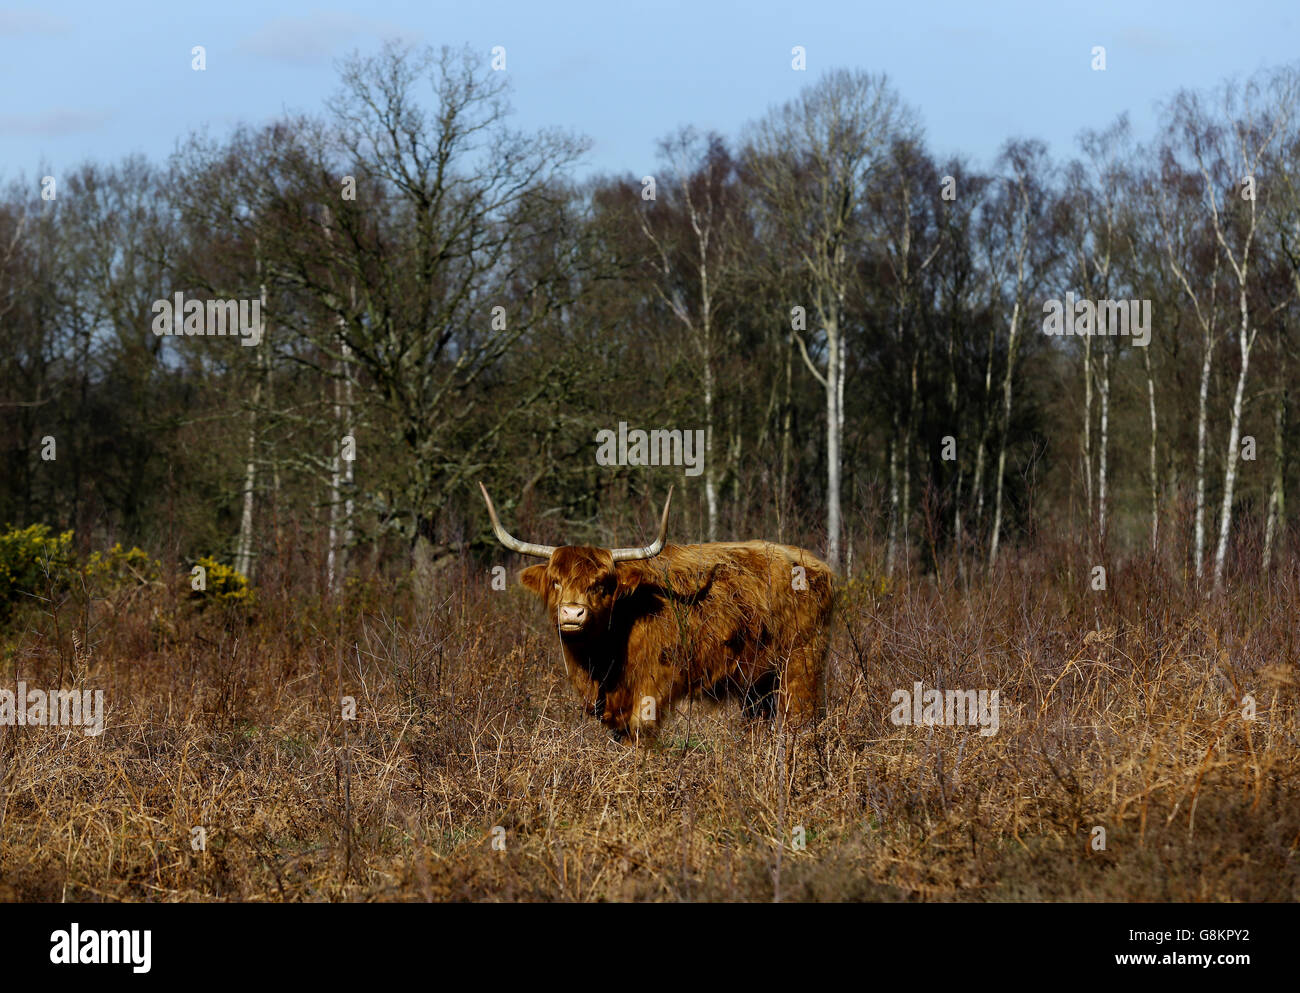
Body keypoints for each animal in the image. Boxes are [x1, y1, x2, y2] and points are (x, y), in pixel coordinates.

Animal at [479, 483, 834, 740]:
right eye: (555, 581)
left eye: (602, 584)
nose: (572, 614)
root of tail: (816, 564)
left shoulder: (650, 691)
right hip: (759, 682)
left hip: (800, 666)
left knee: (800, 719)